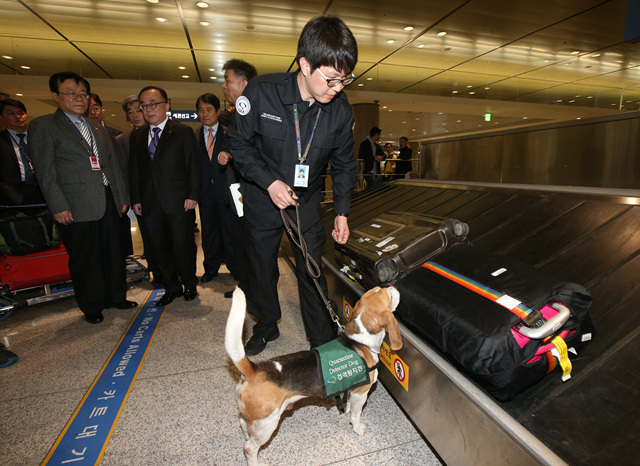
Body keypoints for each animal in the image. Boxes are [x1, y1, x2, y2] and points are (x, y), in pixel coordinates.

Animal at [226, 286, 400, 464]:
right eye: (389, 295)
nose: (392, 286)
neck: (361, 342)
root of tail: (255, 369)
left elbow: (349, 405)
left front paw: (347, 410)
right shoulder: (361, 393)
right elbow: (356, 415)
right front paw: (358, 428)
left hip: (252, 419)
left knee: (242, 424)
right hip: (267, 423)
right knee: (249, 448)